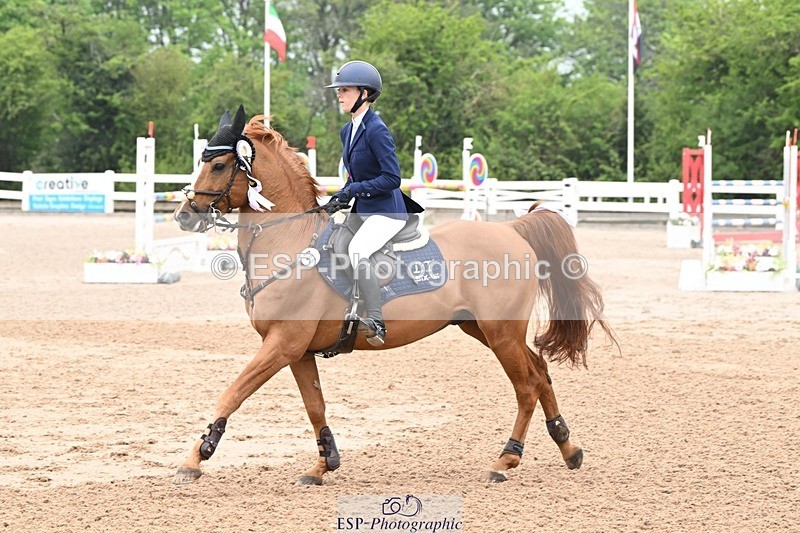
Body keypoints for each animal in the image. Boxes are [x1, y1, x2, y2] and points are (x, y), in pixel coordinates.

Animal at [172, 106, 615, 485]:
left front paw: (195, 458)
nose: (184, 215)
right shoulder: (296, 350)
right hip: (482, 329)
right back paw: (568, 448)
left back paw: (505, 460)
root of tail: (513, 229)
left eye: (218, 165)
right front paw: (323, 465)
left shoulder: (282, 343)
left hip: (501, 332)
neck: (290, 242)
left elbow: (232, 393)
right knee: (539, 372)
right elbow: (315, 406)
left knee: (526, 386)